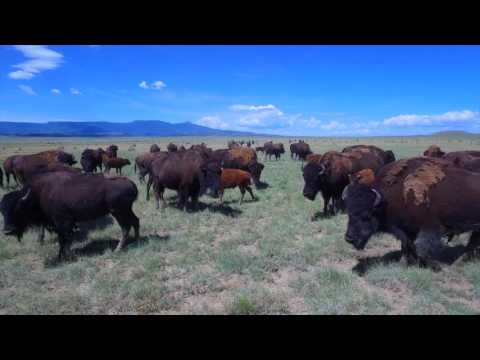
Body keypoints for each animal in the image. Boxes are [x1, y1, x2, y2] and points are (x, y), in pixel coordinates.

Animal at [0, 172, 139, 260]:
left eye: (18, 208)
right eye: (2, 211)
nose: (7, 230)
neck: (37, 193)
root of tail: (130, 182)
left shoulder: (63, 222)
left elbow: (64, 239)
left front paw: (64, 256)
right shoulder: (62, 223)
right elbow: (64, 239)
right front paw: (62, 255)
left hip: (118, 212)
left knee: (125, 227)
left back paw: (118, 249)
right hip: (126, 211)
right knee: (135, 221)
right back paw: (136, 241)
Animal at [342, 156, 480, 272]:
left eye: (366, 215)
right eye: (349, 212)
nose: (349, 238)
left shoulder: (429, 228)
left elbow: (420, 248)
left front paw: (434, 265)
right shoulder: (405, 229)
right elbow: (406, 245)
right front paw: (404, 262)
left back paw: (457, 262)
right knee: (473, 242)